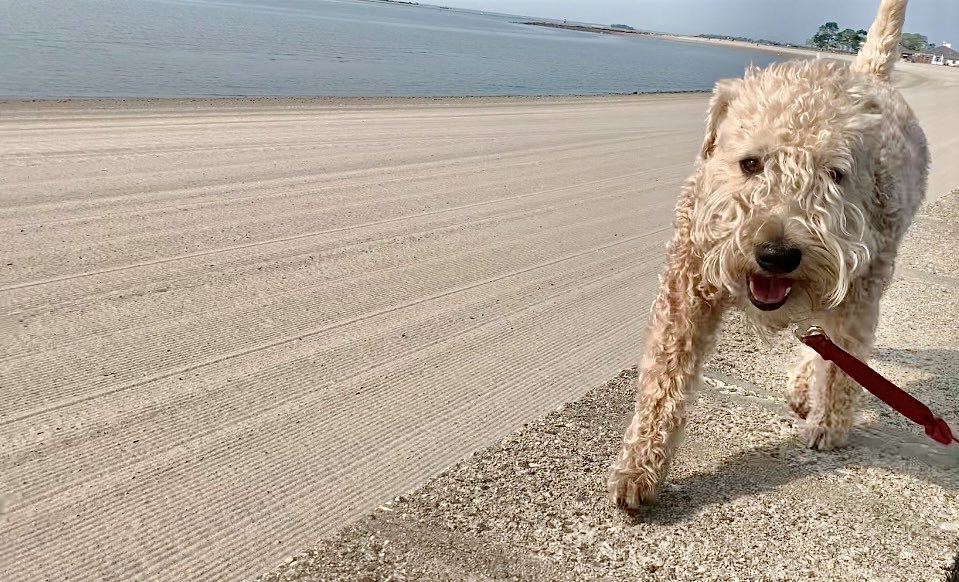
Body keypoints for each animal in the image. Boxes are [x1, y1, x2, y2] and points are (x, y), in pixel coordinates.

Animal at [608, 0, 928, 512]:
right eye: (751, 163)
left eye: (835, 174)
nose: (777, 254)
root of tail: (868, 75)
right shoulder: (687, 287)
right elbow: (664, 379)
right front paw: (640, 467)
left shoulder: (859, 293)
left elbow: (840, 369)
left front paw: (827, 426)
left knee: (835, 347)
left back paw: (808, 391)